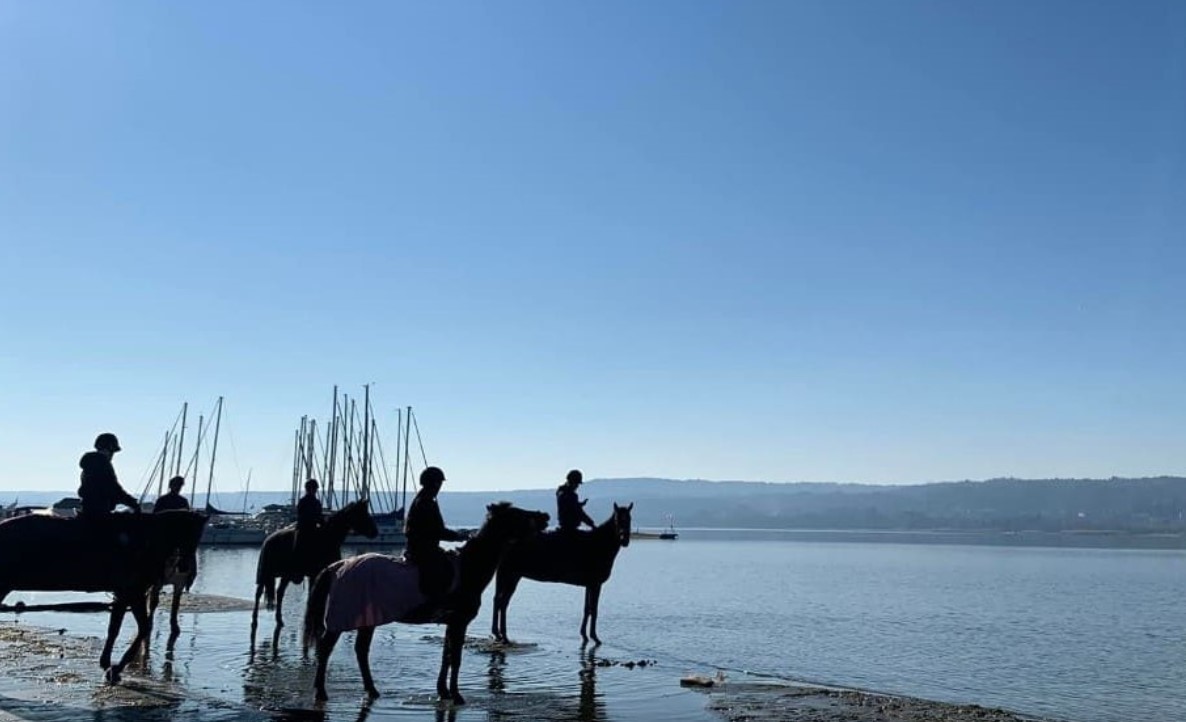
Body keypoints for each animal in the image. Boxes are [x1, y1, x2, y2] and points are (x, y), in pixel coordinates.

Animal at [0, 510, 209, 682]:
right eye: (188, 533)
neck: (143, 540)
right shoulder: (132, 593)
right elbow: (140, 628)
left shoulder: (125, 595)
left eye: (198, 537)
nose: (186, 568)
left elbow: (118, 629)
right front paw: (117, 667)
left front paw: (109, 663)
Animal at [251, 498, 378, 633]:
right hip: (265, 573)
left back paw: (279, 620)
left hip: (285, 575)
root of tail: (268, 539)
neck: (327, 539)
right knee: (258, 593)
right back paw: (254, 620)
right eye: (363, 514)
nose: (375, 532)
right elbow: (313, 597)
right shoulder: (315, 574)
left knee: (279, 593)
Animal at [304, 502, 550, 704]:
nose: (545, 516)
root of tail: (337, 567)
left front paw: (443, 691)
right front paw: (456, 695)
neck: (469, 568)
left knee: (360, 651)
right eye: (517, 513)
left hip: (368, 619)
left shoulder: (452, 623)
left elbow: (447, 656)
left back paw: (371, 690)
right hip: (340, 620)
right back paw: (321, 692)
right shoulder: (459, 622)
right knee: (325, 649)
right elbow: (455, 658)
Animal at [491, 502, 632, 646]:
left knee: (500, 601)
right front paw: (594, 637)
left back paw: (499, 634)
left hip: (510, 575)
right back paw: (502, 635)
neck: (600, 545)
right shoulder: (596, 584)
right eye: (617, 520)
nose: (624, 539)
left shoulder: (589, 584)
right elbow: (594, 610)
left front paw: (584, 634)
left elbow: (587, 609)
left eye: (629, 519)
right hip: (510, 574)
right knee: (502, 601)